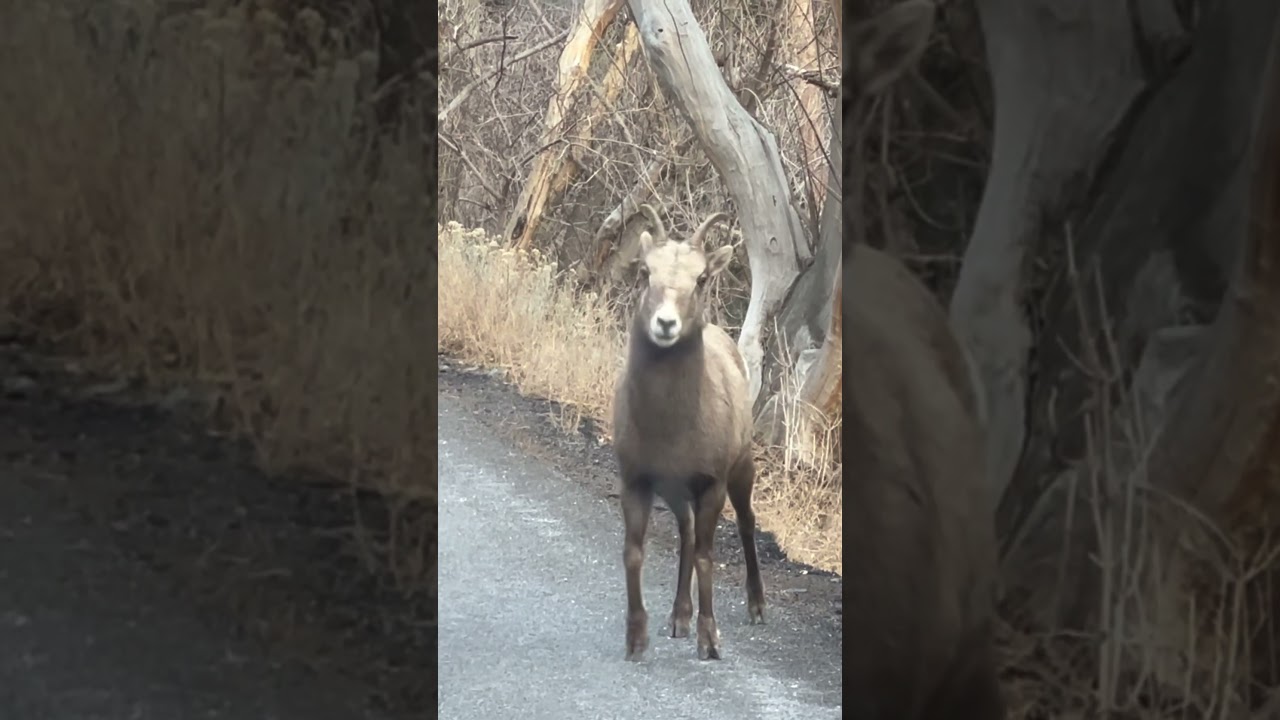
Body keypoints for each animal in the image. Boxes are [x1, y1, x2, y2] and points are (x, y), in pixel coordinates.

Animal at [611, 204, 764, 662]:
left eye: (701, 278)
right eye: (645, 271)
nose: (666, 324)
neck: (671, 425)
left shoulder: (712, 485)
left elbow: (706, 558)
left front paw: (709, 641)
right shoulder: (638, 481)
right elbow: (634, 554)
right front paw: (636, 639)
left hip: (741, 471)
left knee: (746, 523)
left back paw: (756, 606)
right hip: (677, 494)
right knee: (687, 533)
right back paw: (678, 618)